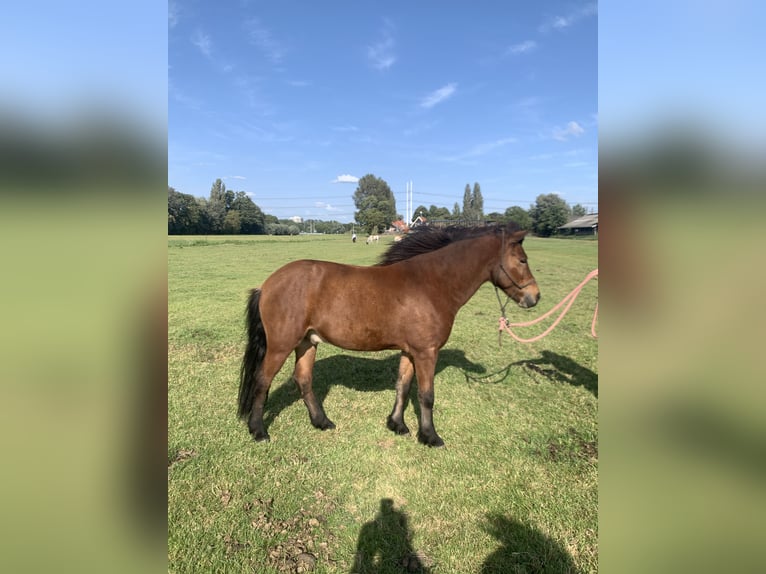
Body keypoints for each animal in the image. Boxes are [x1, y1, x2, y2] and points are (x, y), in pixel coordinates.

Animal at [238, 223, 540, 448]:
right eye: (522, 260)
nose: (535, 297)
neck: (431, 284)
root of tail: (267, 285)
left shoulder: (410, 351)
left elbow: (402, 387)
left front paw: (397, 425)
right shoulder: (427, 353)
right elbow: (426, 395)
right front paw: (430, 436)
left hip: (307, 343)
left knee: (303, 380)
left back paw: (321, 422)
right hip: (280, 346)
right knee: (262, 381)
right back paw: (258, 430)